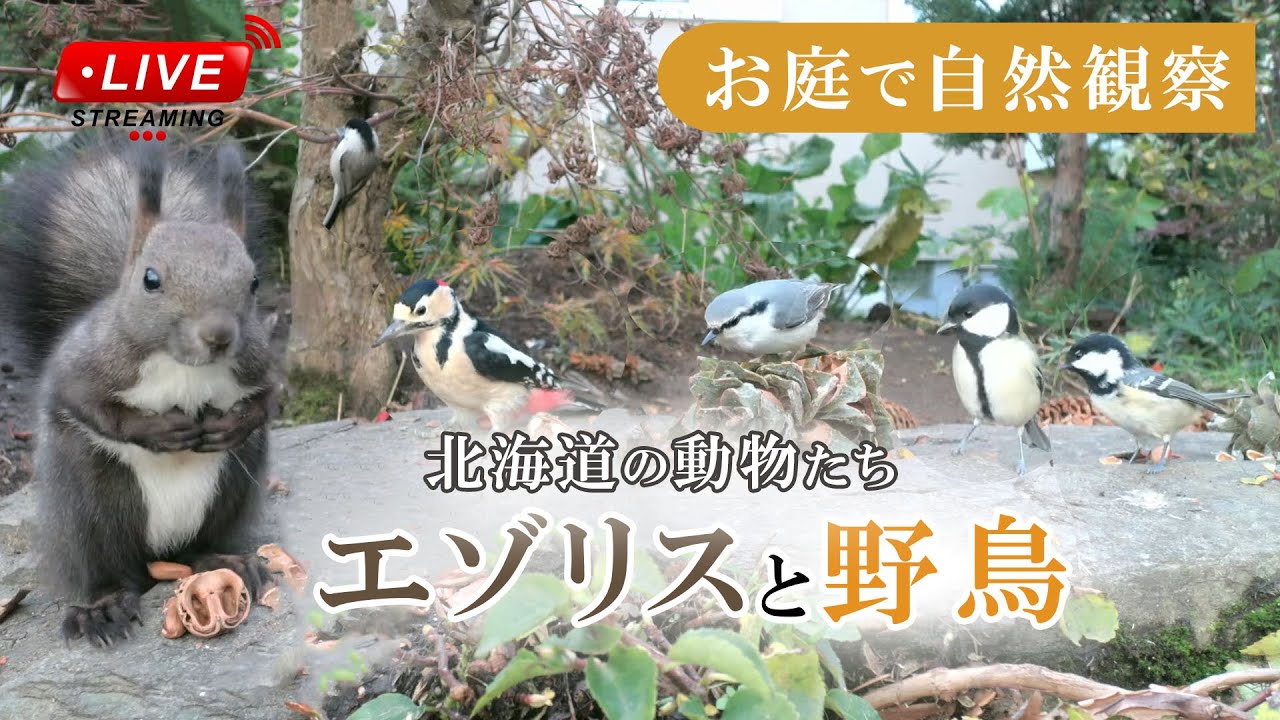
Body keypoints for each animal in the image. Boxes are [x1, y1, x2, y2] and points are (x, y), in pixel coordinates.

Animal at [0, 132, 282, 647]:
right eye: (151, 279)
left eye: (253, 281)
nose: (218, 335)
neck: (183, 365)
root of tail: (159, 555)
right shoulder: (86, 365)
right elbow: (86, 404)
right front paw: (159, 431)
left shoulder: (260, 361)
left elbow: (267, 400)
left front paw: (231, 425)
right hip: (89, 505)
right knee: (106, 568)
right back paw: (103, 606)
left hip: (232, 485)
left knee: (198, 549)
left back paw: (228, 562)